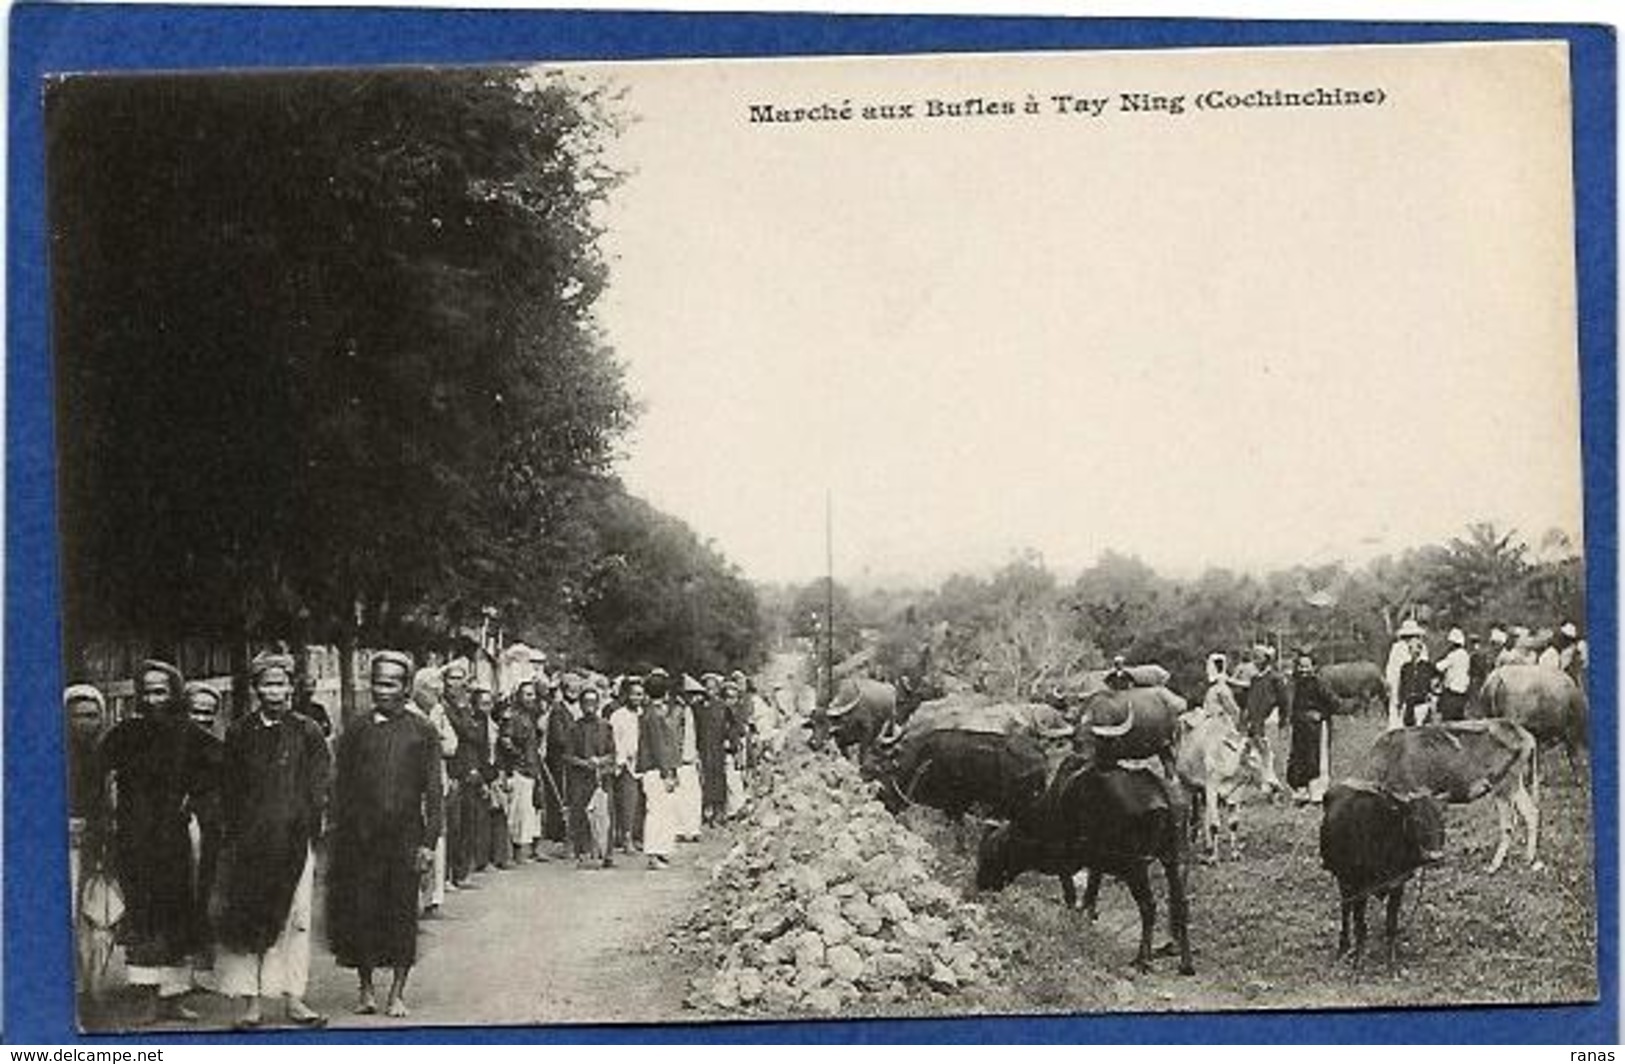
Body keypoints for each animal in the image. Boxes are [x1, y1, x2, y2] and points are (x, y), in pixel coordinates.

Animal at [968, 760, 1202, 981]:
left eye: (989, 856)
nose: (980, 885)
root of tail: (1163, 792)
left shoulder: (1063, 863)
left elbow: (1071, 897)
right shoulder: (1096, 864)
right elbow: (1090, 895)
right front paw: (1085, 922)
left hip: (1135, 866)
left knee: (1149, 907)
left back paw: (1142, 960)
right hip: (1177, 859)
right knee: (1181, 904)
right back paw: (1186, 964)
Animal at [1319, 782, 1449, 974]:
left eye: (1442, 819)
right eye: (1416, 819)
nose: (1435, 857)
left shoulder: (1397, 886)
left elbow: (1391, 925)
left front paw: (1391, 963)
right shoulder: (1360, 888)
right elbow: (1360, 926)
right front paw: (1358, 962)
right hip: (1344, 880)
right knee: (1345, 910)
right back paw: (1343, 947)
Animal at [1358, 714, 1534, 877]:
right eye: (1418, 820)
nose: (1436, 856)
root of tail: (1521, 732)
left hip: (1503, 786)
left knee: (1509, 823)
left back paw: (1493, 866)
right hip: (1516, 784)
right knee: (1531, 812)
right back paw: (1528, 859)